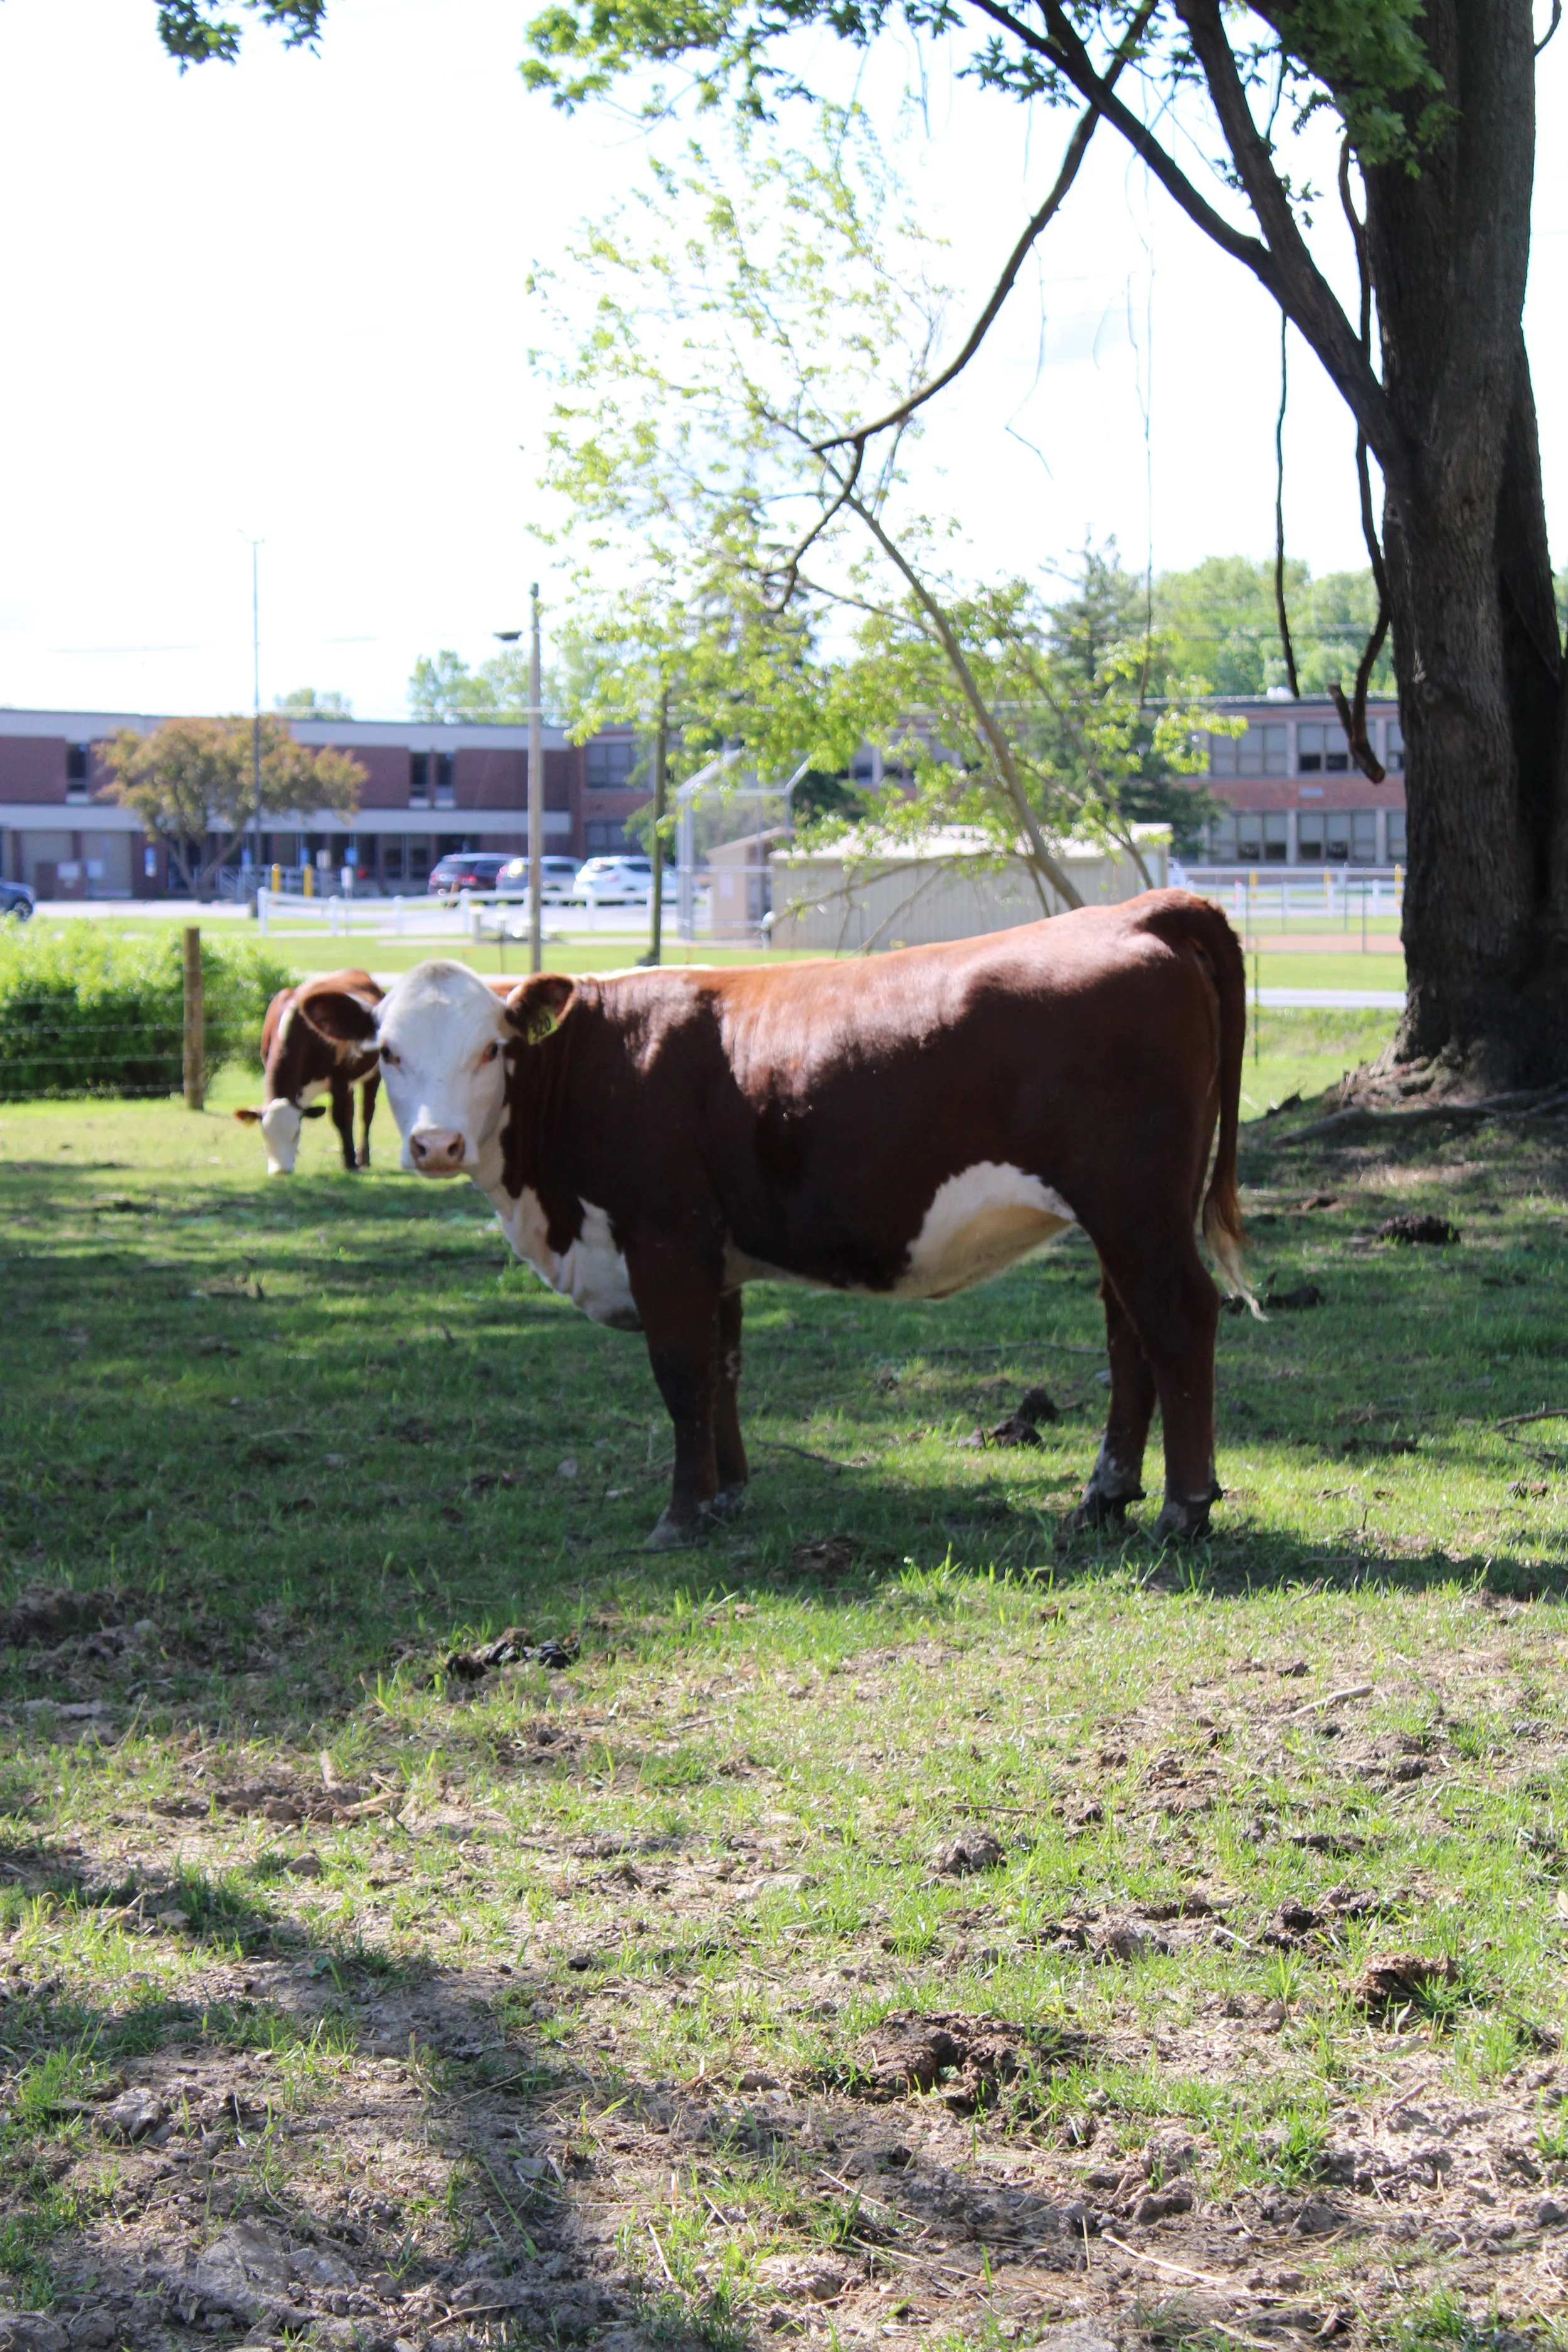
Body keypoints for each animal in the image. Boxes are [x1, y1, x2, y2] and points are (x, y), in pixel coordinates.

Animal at [234, 969, 384, 1177]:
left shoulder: (339, 1079)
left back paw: (363, 1159)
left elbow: (340, 1119)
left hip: (373, 1074)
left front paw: (350, 1164)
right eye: (264, 1134)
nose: (280, 1171)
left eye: (295, 1133)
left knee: (366, 1114)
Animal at [299, 891, 1251, 1547]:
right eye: (388, 1051)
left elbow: (681, 1374)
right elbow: (723, 1370)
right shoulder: (711, 1254)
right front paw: (728, 1496)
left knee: (1176, 1318)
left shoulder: (664, 1238)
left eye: (492, 1047)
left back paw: (1183, 1507)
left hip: (1133, 1203)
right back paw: (1104, 1496)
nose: (437, 1143)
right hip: (1130, 1214)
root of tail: (1134, 912)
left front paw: (680, 1517)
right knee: (1128, 1331)